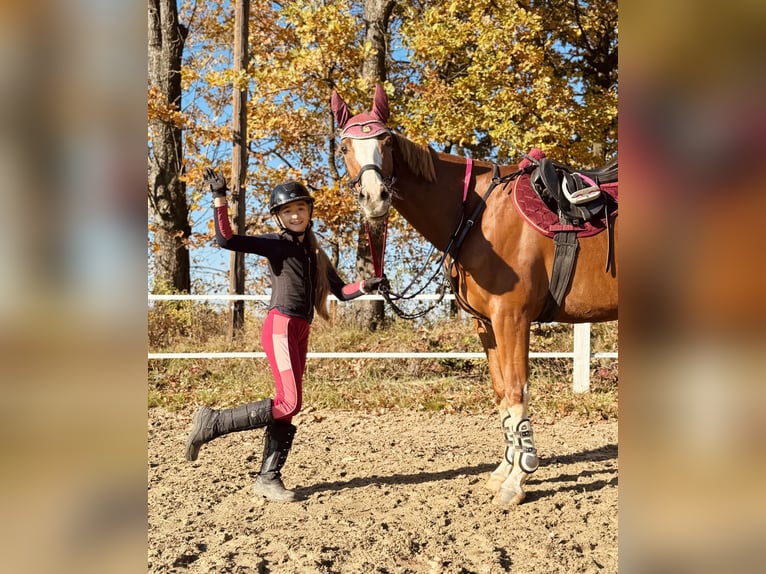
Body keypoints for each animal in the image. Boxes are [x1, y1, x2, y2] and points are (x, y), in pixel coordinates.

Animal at [331, 84, 618, 506]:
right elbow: (500, 395)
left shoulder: (512, 318)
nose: (375, 196)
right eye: (344, 146)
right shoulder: (487, 325)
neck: (477, 212)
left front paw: (517, 481)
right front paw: (503, 472)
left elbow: (516, 391)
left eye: (385, 140)